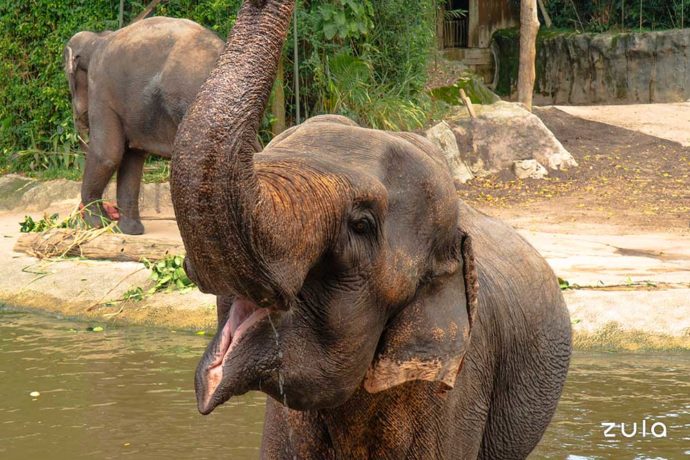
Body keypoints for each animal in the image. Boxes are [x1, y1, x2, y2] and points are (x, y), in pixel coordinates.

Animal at [65, 16, 223, 235]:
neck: (98, 39)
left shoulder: (101, 86)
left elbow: (108, 153)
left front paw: (97, 224)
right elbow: (132, 159)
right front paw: (130, 231)